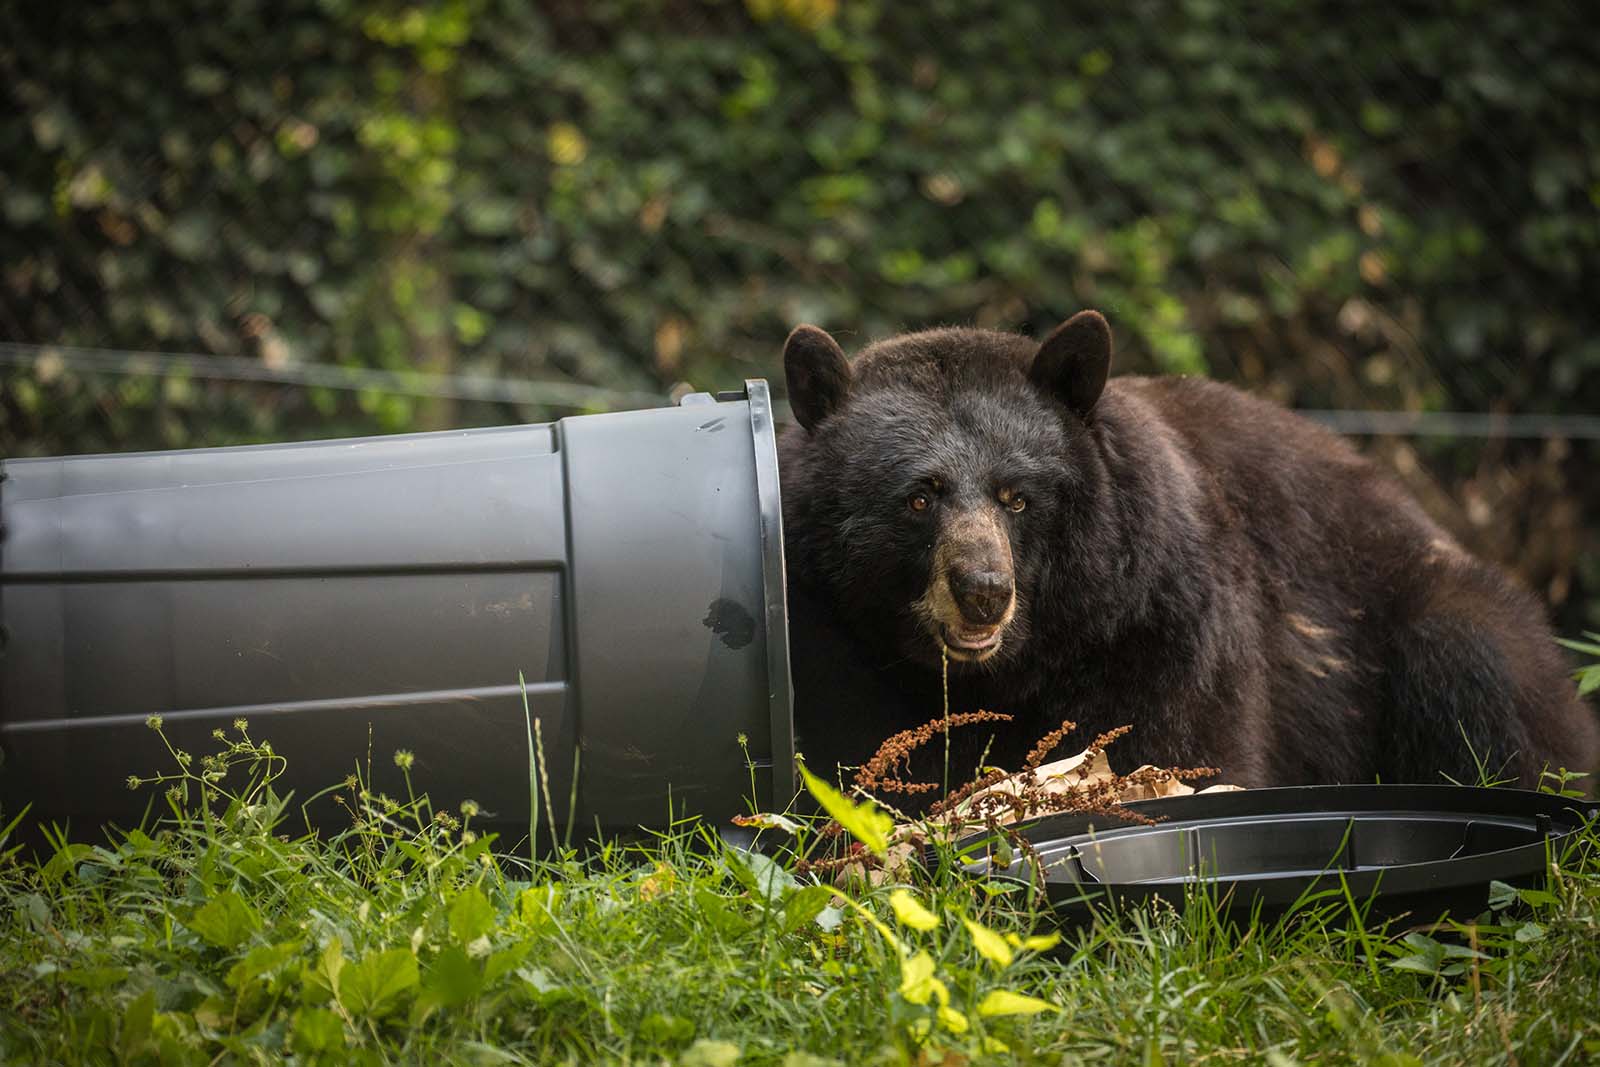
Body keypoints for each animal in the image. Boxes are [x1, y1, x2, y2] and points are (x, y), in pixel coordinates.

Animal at [777, 310, 1600, 796]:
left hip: (1437, 620)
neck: (1021, 661)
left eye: (1018, 497)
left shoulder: (1160, 614)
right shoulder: (827, 628)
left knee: (1485, 679)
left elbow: (1181, 745)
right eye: (920, 496)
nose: (984, 590)